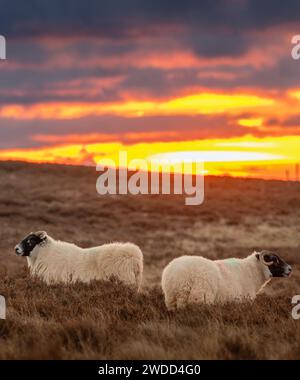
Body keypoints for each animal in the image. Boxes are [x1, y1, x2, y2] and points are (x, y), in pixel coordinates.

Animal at [162, 251, 290, 310]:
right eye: (274, 260)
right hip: (198, 298)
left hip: (172, 300)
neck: (251, 272)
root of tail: (175, 275)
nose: (290, 269)